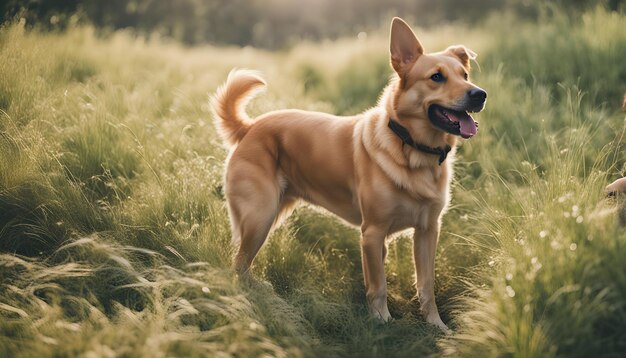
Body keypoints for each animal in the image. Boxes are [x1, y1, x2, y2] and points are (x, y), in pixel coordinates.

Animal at [212, 16, 486, 330]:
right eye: (437, 77)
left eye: (465, 75)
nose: (480, 94)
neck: (412, 149)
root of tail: (251, 127)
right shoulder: (372, 233)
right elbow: (378, 287)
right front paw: (382, 322)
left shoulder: (428, 231)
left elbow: (426, 284)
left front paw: (436, 325)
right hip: (260, 218)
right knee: (239, 265)